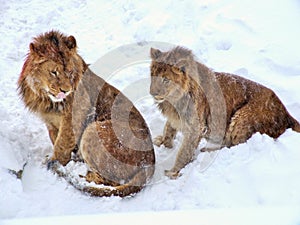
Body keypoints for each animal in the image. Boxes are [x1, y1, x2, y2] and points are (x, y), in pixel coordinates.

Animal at [17, 30, 156, 196]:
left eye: (70, 71)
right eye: (54, 72)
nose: (66, 90)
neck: (45, 98)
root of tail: (149, 163)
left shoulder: (73, 117)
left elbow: (61, 144)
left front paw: (54, 162)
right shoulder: (50, 122)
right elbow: (55, 140)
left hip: (93, 130)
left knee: (107, 181)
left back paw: (73, 174)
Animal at [151, 46, 300, 179]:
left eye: (165, 79)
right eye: (152, 76)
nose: (152, 93)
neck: (172, 101)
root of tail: (287, 114)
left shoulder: (196, 128)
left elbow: (184, 152)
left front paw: (174, 172)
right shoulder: (175, 118)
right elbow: (168, 128)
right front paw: (164, 142)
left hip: (242, 117)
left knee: (234, 144)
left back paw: (206, 150)